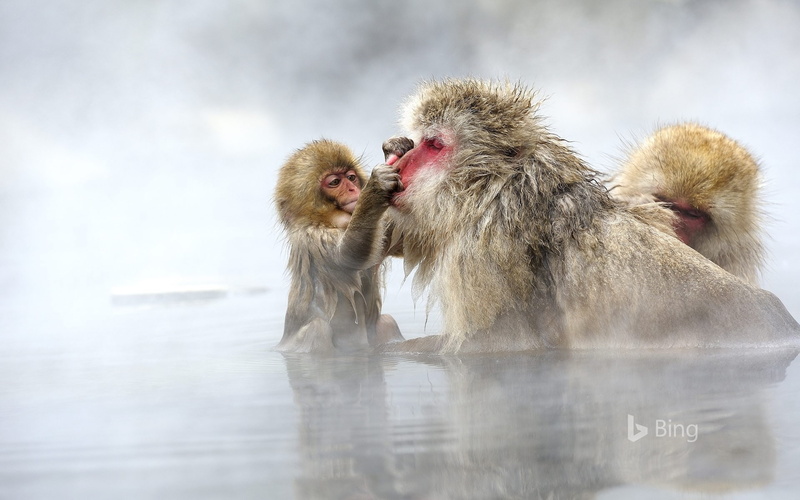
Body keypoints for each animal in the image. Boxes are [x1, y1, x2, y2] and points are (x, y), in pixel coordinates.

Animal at [274, 139, 404, 353]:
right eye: (335, 182)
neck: (329, 222)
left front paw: (394, 147)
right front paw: (376, 187)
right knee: (318, 328)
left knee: (387, 323)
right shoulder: (313, 236)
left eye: (351, 177)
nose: (353, 189)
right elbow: (348, 255)